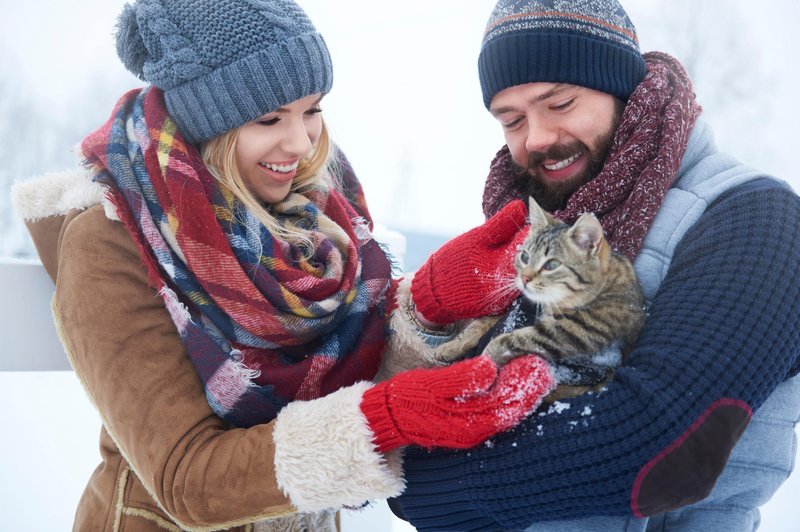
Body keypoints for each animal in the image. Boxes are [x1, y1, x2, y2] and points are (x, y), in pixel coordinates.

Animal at [434, 197, 648, 402]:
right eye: (525, 257)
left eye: (551, 264)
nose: (524, 278)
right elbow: (483, 322)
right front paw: (451, 346)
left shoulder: (570, 332)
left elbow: (510, 339)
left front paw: (483, 362)